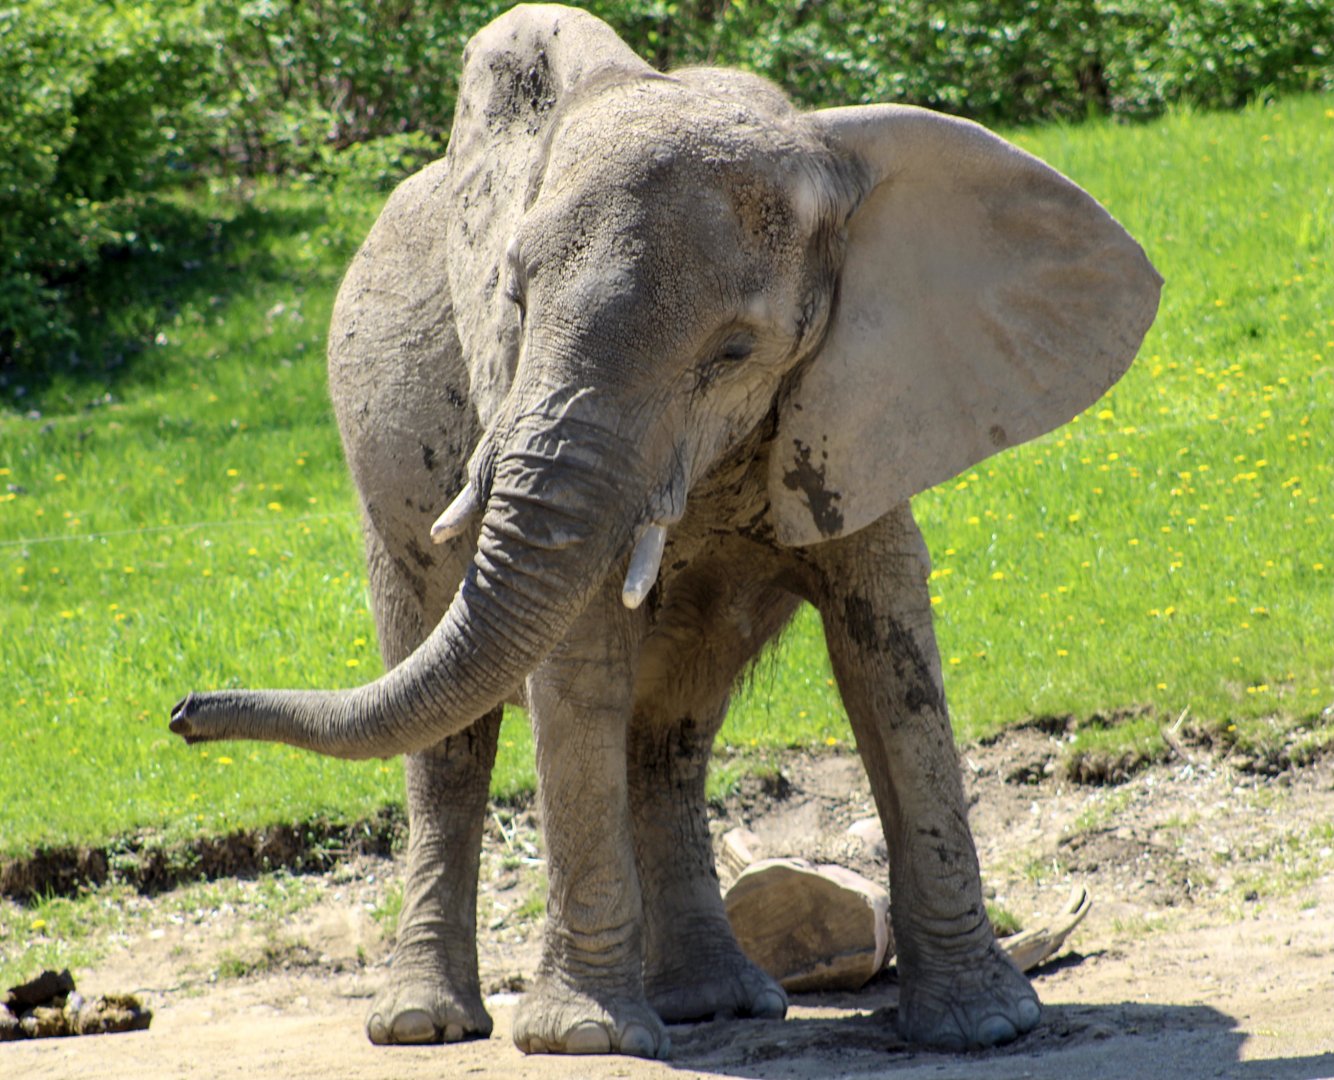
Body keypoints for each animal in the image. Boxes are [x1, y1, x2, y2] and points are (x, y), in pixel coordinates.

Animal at [170, 3, 1161, 1060]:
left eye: (734, 353)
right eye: (513, 301)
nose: (183, 713)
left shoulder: (864, 402)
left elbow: (889, 661)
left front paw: (985, 1028)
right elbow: (579, 666)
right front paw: (583, 1041)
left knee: (671, 731)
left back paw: (714, 1004)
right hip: (375, 475)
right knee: (449, 740)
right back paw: (424, 1024)